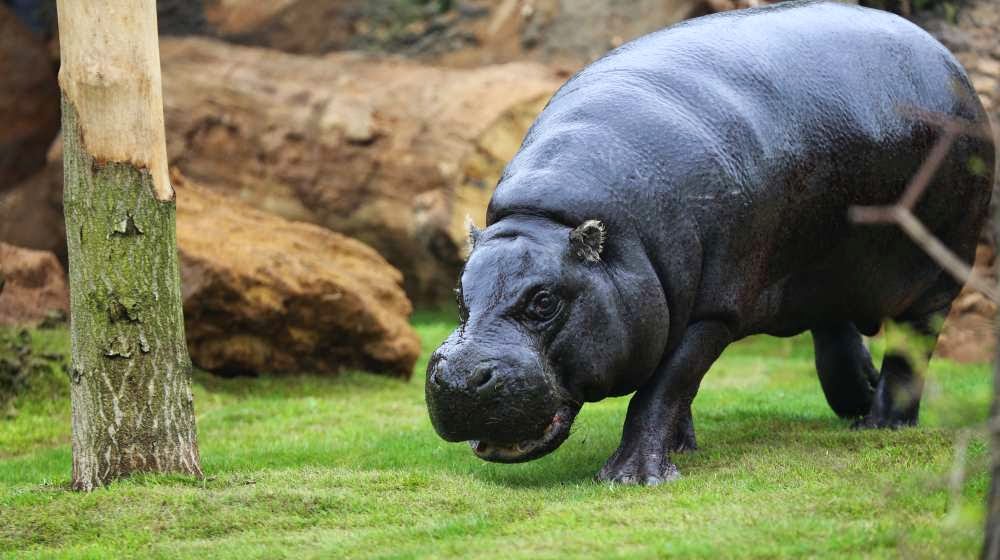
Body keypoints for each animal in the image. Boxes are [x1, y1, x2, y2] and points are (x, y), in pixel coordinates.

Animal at [420, 0, 992, 484]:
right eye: (459, 294)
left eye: (544, 301)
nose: (460, 379)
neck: (553, 219)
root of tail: (950, 62)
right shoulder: (670, 306)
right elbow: (676, 390)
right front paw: (681, 449)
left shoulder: (711, 311)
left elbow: (663, 388)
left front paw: (632, 478)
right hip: (825, 265)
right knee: (834, 329)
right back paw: (857, 403)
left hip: (939, 274)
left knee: (911, 349)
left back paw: (881, 425)